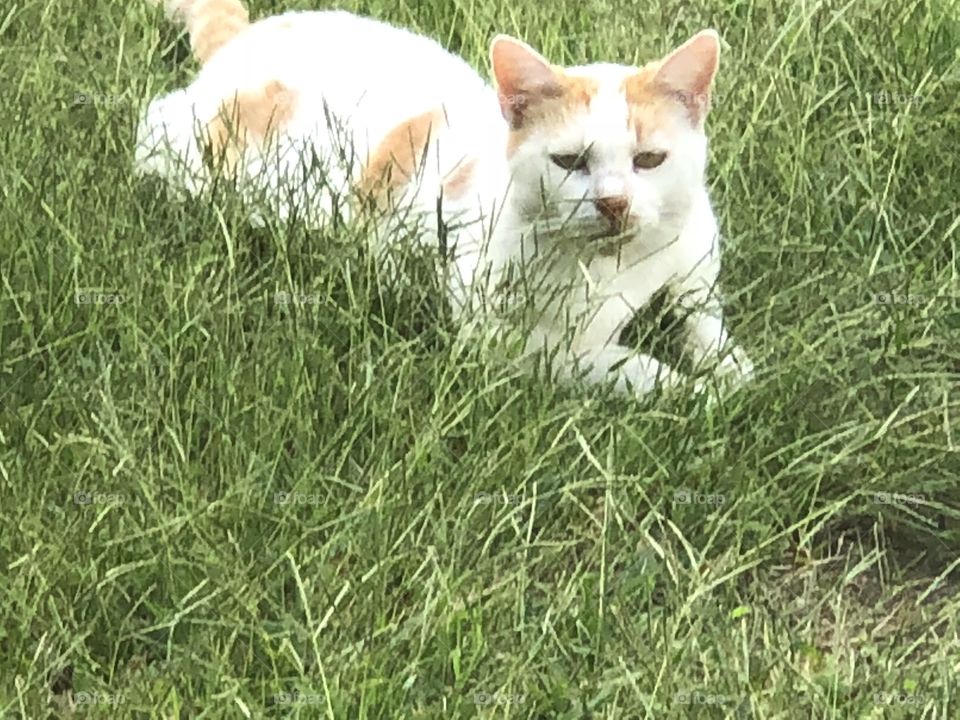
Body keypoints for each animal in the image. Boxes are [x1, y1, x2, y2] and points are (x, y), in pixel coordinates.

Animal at [135, 0, 752, 394]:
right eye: (570, 162)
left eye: (649, 160)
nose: (613, 204)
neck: (615, 269)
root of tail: (242, 44)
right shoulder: (501, 338)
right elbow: (606, 364)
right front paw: (686, 388)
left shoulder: (697, 243)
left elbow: (702, 311)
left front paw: (727, 366)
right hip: (178, 148)